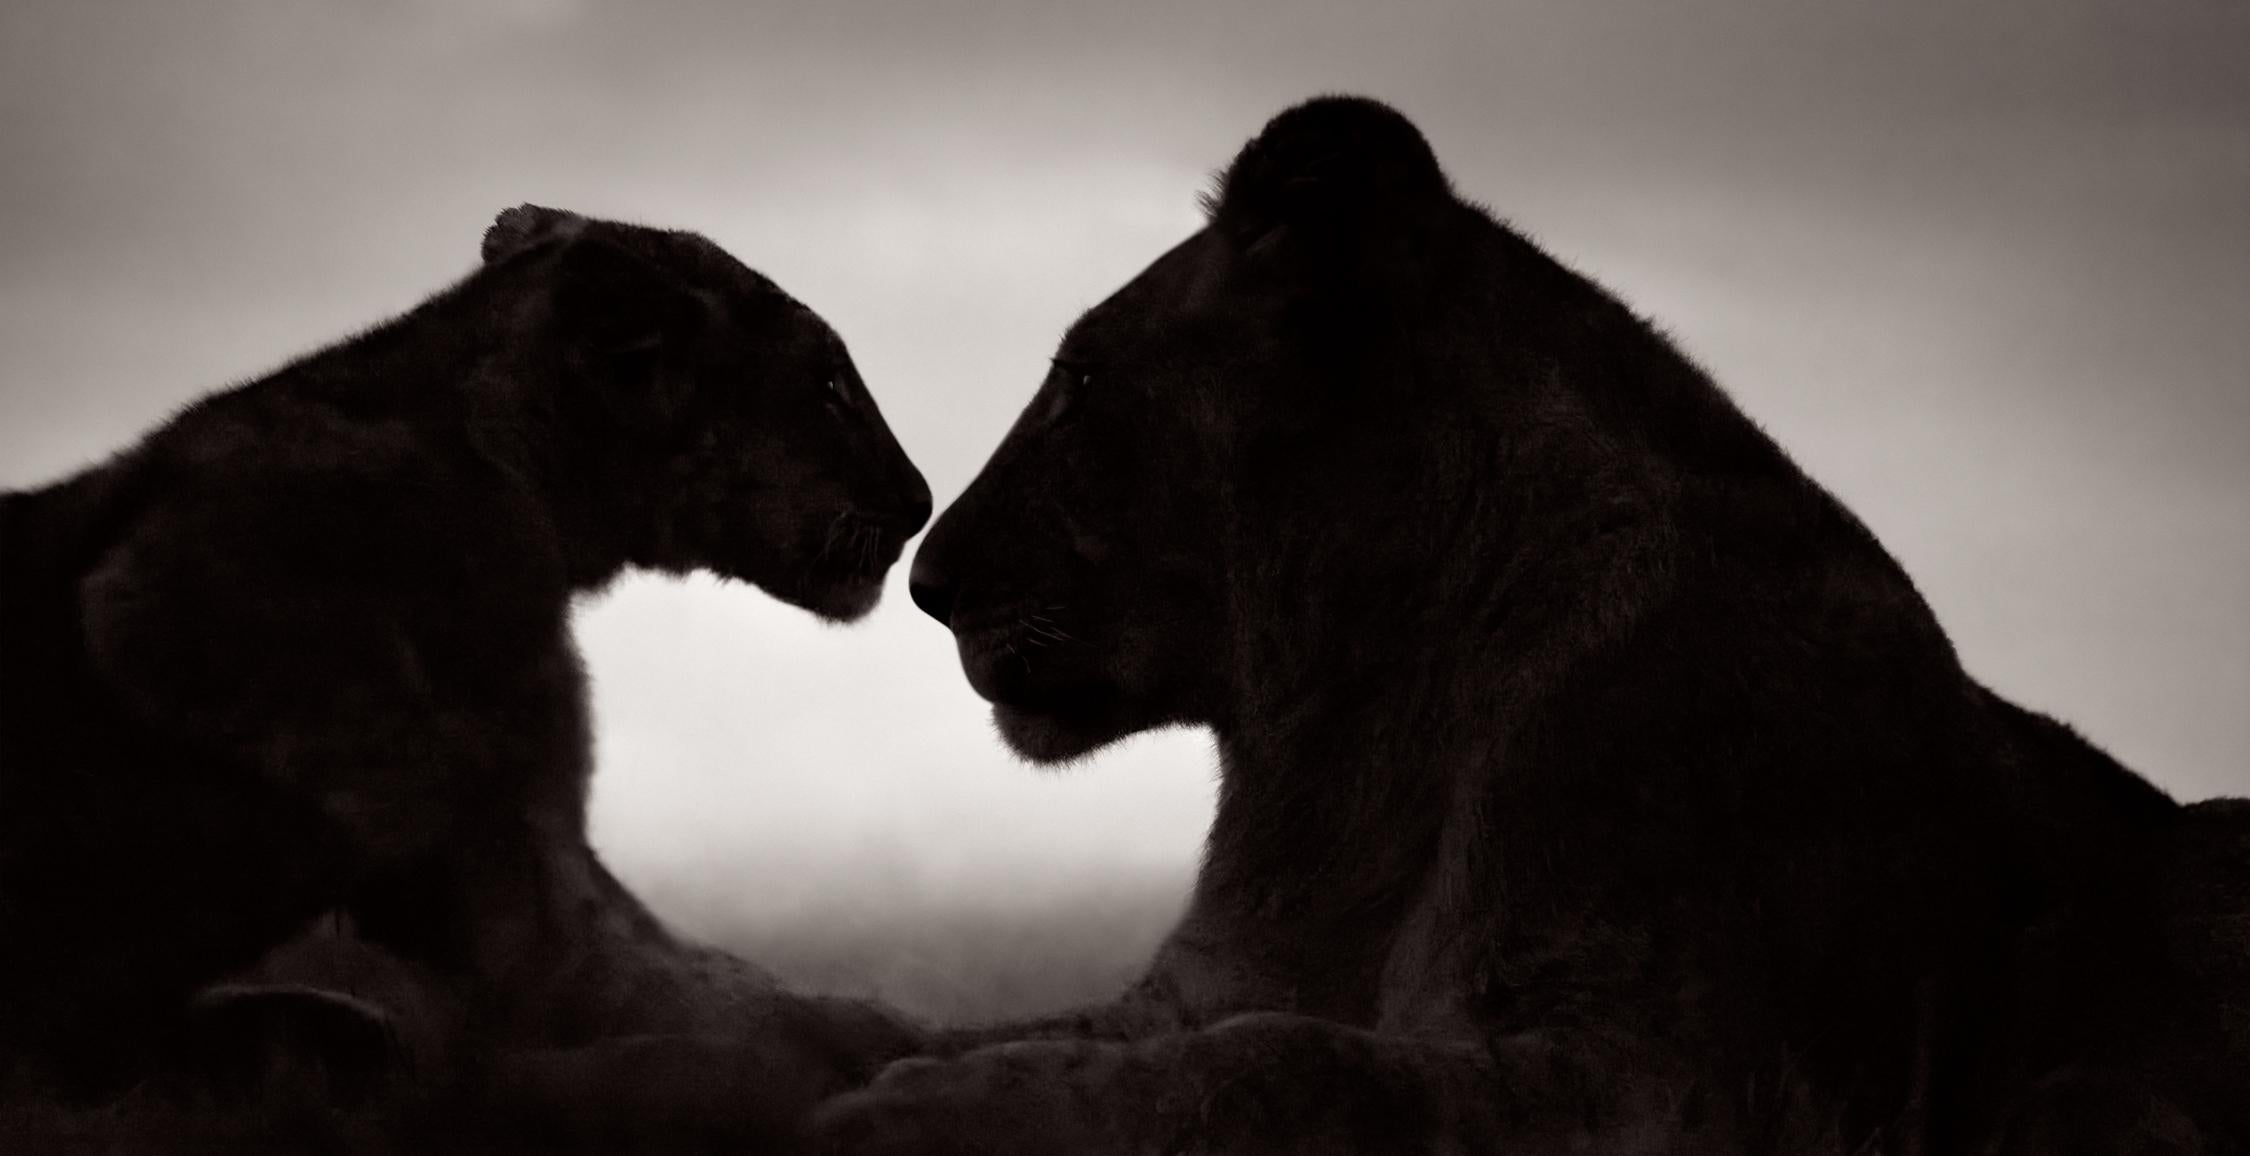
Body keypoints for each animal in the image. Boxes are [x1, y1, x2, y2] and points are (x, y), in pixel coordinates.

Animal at [814, 98, 2250, 1151]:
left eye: (1080, 383)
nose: (929, 576)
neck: (1369, 726)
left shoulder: (1674, 1075)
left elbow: (1288, 1070)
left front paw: (903, 1117)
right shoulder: (1208, 977)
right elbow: (915, 1023)